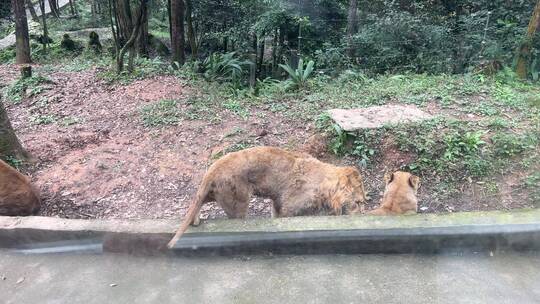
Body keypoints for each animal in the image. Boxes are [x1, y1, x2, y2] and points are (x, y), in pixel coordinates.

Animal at [168, 146, 368, 248]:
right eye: (358, 203)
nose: (363, 215)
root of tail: (212, 169)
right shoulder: (288, 208)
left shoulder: (277, 203)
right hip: (238, 202)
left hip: (216, 194)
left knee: (196, 202)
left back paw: (195, 220)